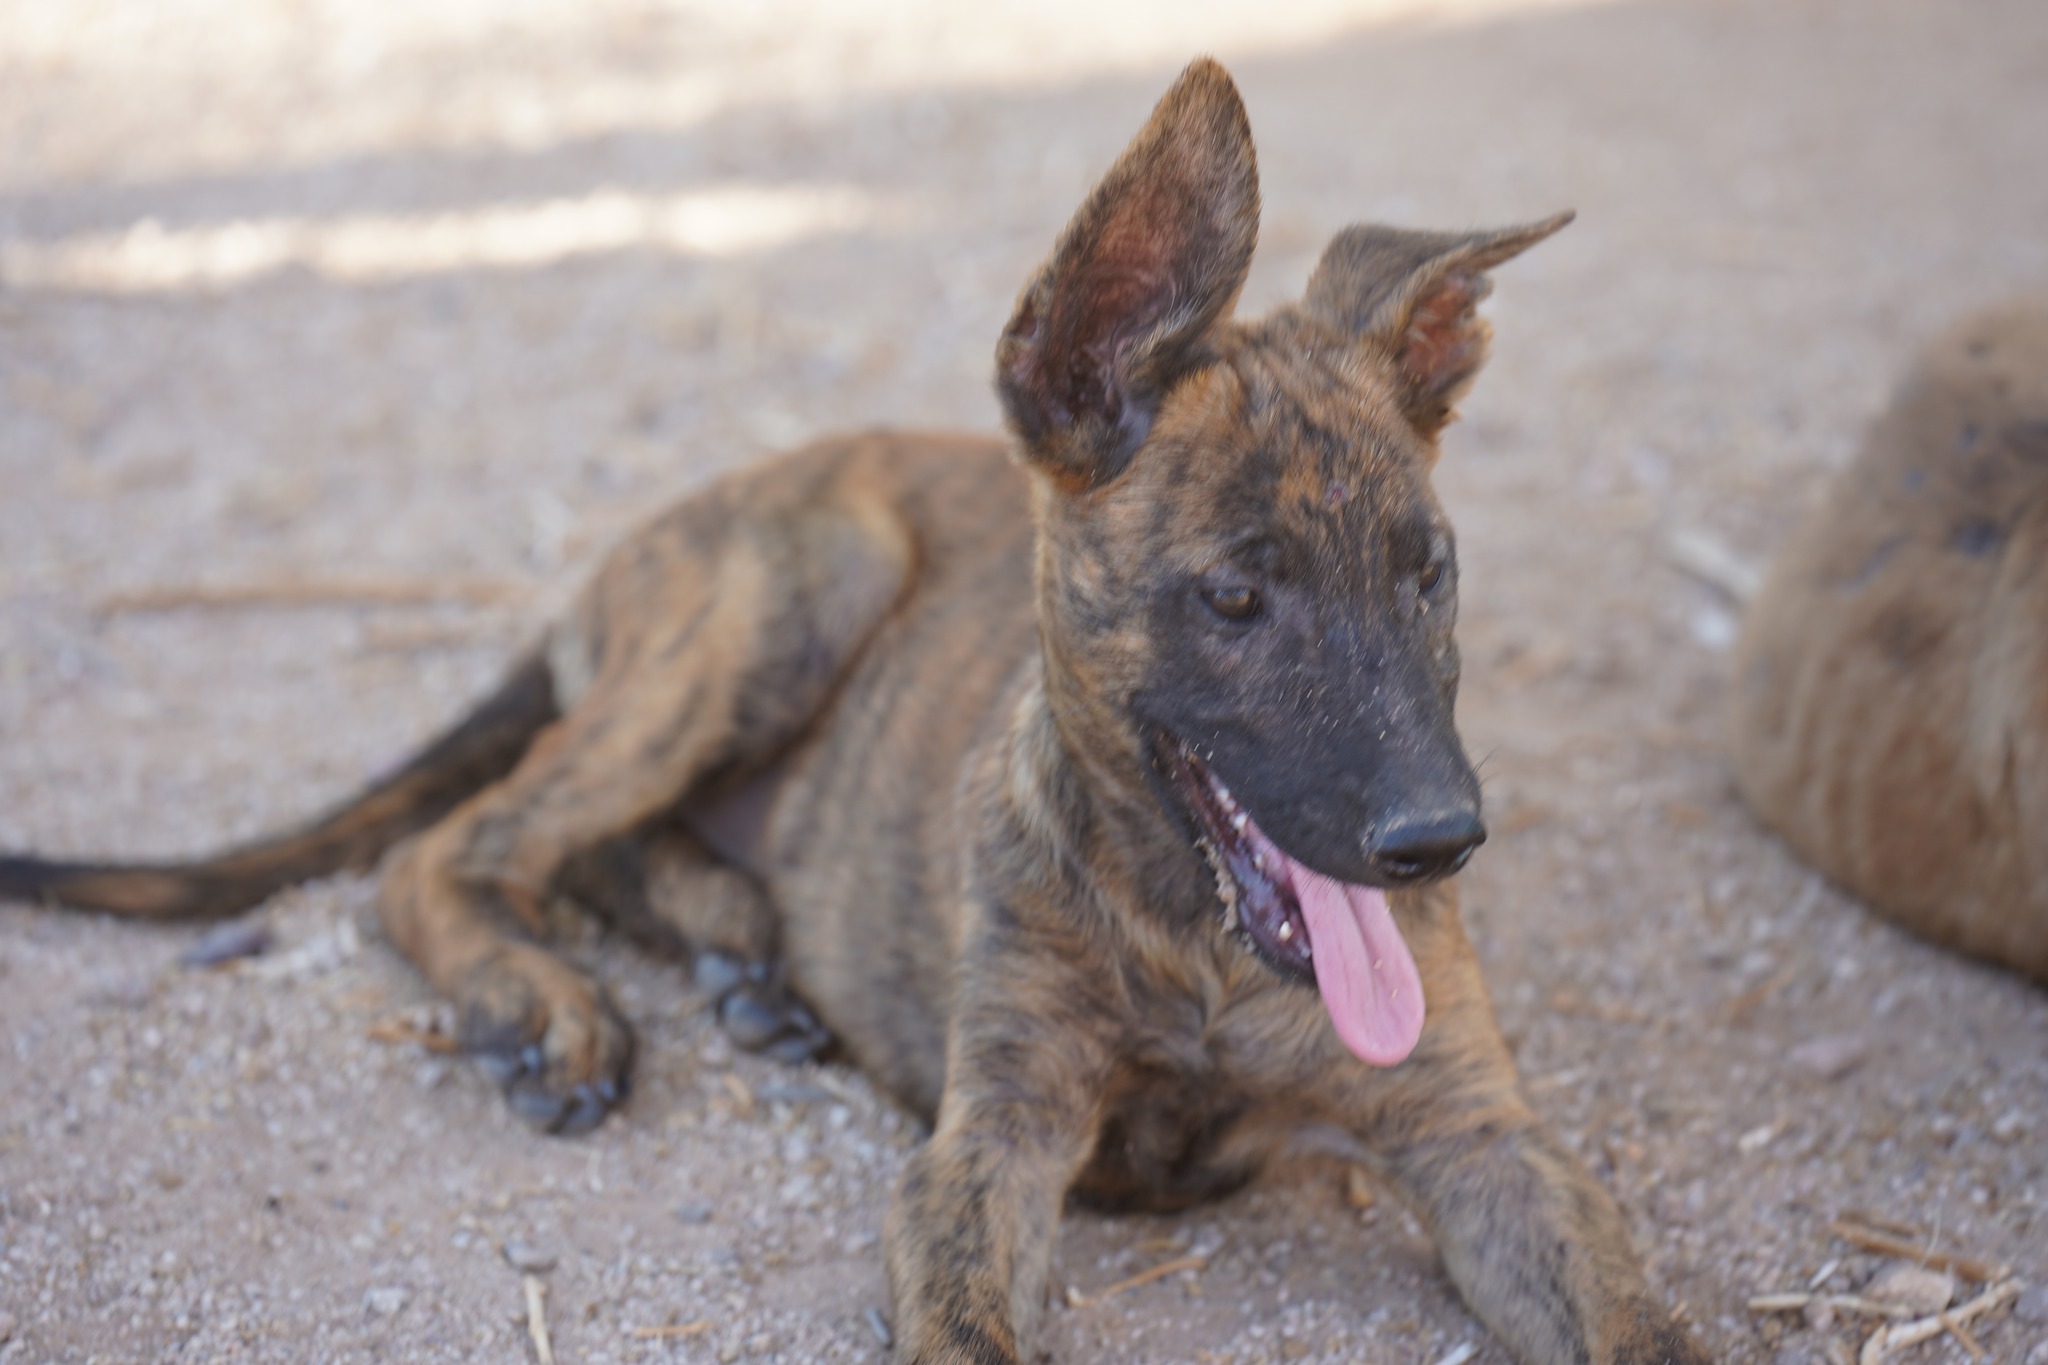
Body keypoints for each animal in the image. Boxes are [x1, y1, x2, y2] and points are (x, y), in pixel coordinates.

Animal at [8, 61, 1703, 1365]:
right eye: (1236, 595)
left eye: (1433, 573)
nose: (1438, 844)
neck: (1196, 944)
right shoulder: (986, 1146)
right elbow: (966, 1313)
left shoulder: (1485, 1136)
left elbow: (1637, 1320)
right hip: (791, 590)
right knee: (461, 846)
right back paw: (544, 1000)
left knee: (590, 844)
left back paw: (744, 951)